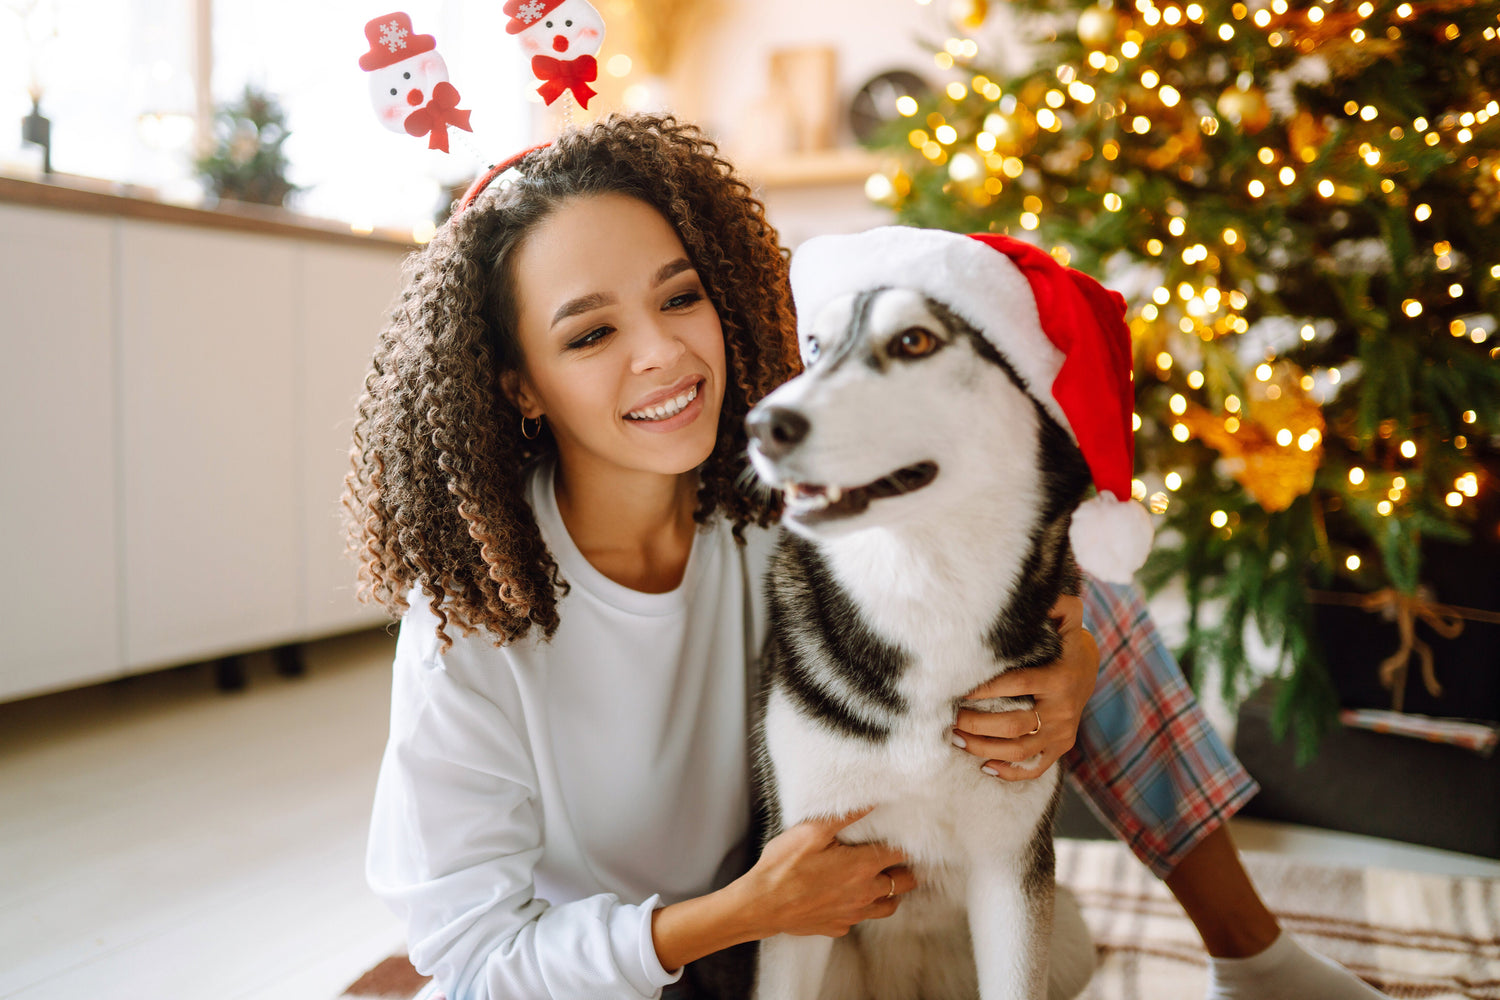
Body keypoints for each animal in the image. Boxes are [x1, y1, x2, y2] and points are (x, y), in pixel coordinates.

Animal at [741, 226, 1146, 1000]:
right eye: (814, 347)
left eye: (915, 341)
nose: (762, 423)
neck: (925, 593)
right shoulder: (800, 875)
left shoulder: (1011, 873)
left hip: (1067, 935)